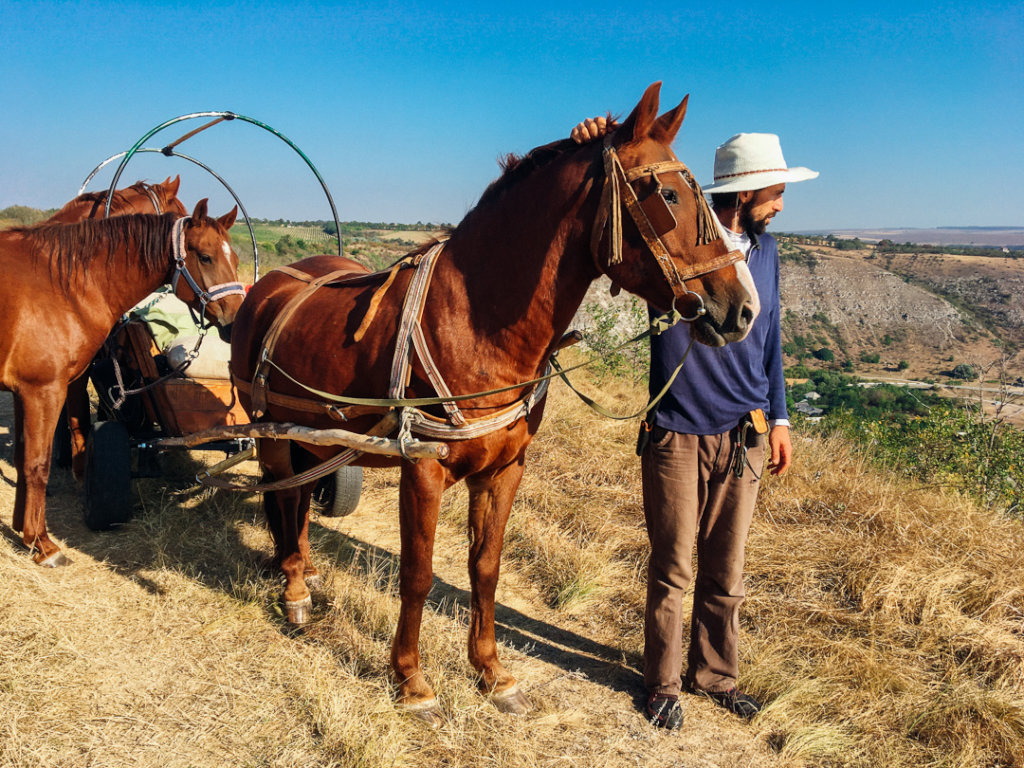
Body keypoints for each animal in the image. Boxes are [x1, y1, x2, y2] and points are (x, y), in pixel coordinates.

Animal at [230, 83, 760, 723]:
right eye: (668, 194)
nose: (741, 309)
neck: (473, 320)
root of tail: (268, 286)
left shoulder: (505, 468)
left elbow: (485, 569)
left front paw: (490, 673)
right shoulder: (423, 470)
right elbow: (418, 573)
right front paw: (411, 681)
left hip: (310, 436)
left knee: (301, 501)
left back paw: (302, 570)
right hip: (272, 430)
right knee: (286, 498)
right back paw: (293, 588)